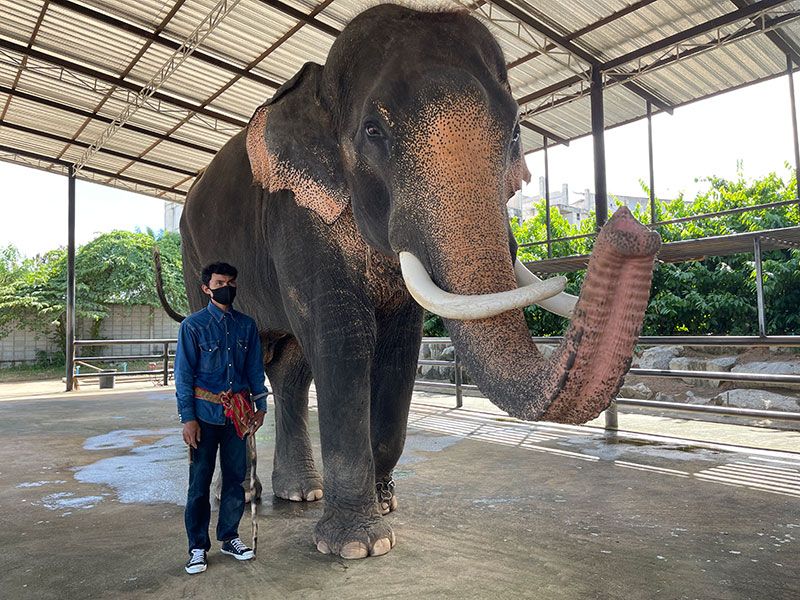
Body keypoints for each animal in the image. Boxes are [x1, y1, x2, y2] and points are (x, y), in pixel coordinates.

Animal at [159, 4, 661, 559]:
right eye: (373, 131)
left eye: (514, 134)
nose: (632, 229)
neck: (322, 84)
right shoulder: (295, 215)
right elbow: (344, 337)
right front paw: (358, 547)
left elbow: (400, 344)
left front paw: (385, 505)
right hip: (191, 255)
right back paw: (245, 495)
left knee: (288, 370)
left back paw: (300, 494)